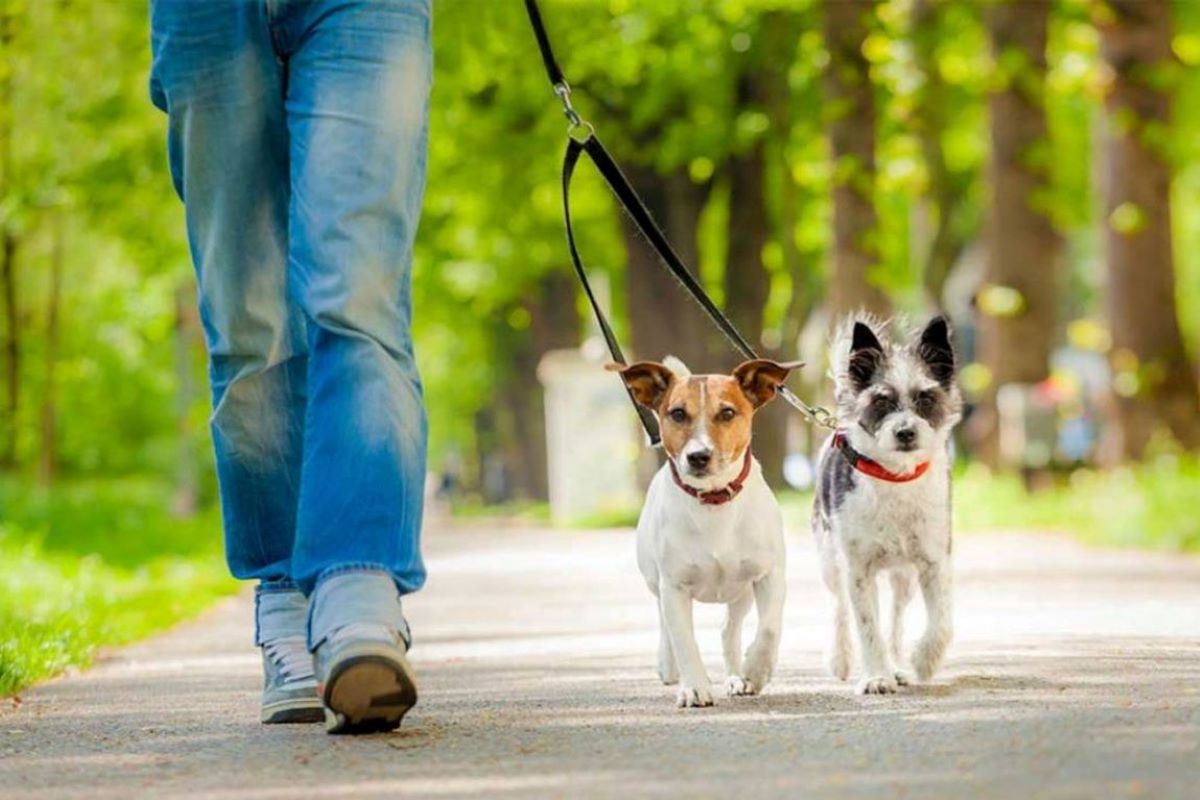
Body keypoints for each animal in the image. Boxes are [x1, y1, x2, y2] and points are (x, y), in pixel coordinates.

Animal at [614, 357, 801, 705]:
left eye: (727, 413)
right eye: (677, 413)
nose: (698, 456)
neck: (714, 500)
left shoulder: (769, 575)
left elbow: (769, 629)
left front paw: (756, 670)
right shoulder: (674, 586)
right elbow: (684, 641)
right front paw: (695, 687)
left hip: (741, 592)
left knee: (730, 629)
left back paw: (736, 676)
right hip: (655, 580)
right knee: (665, 623)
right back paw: (668, 665)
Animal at [811, 311, 960, 695]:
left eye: (925, 398)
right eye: (881, 401)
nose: (905, 432)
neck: (895, 478)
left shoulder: (934, 562)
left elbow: (942, 621)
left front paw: (923, 661)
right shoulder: (858, 569)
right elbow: (866, 627)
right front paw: (876, 676)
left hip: (903, 577)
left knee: (895, 618)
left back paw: (898, 666)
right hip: (830, 560)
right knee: (840, 608)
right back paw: (842, 658)